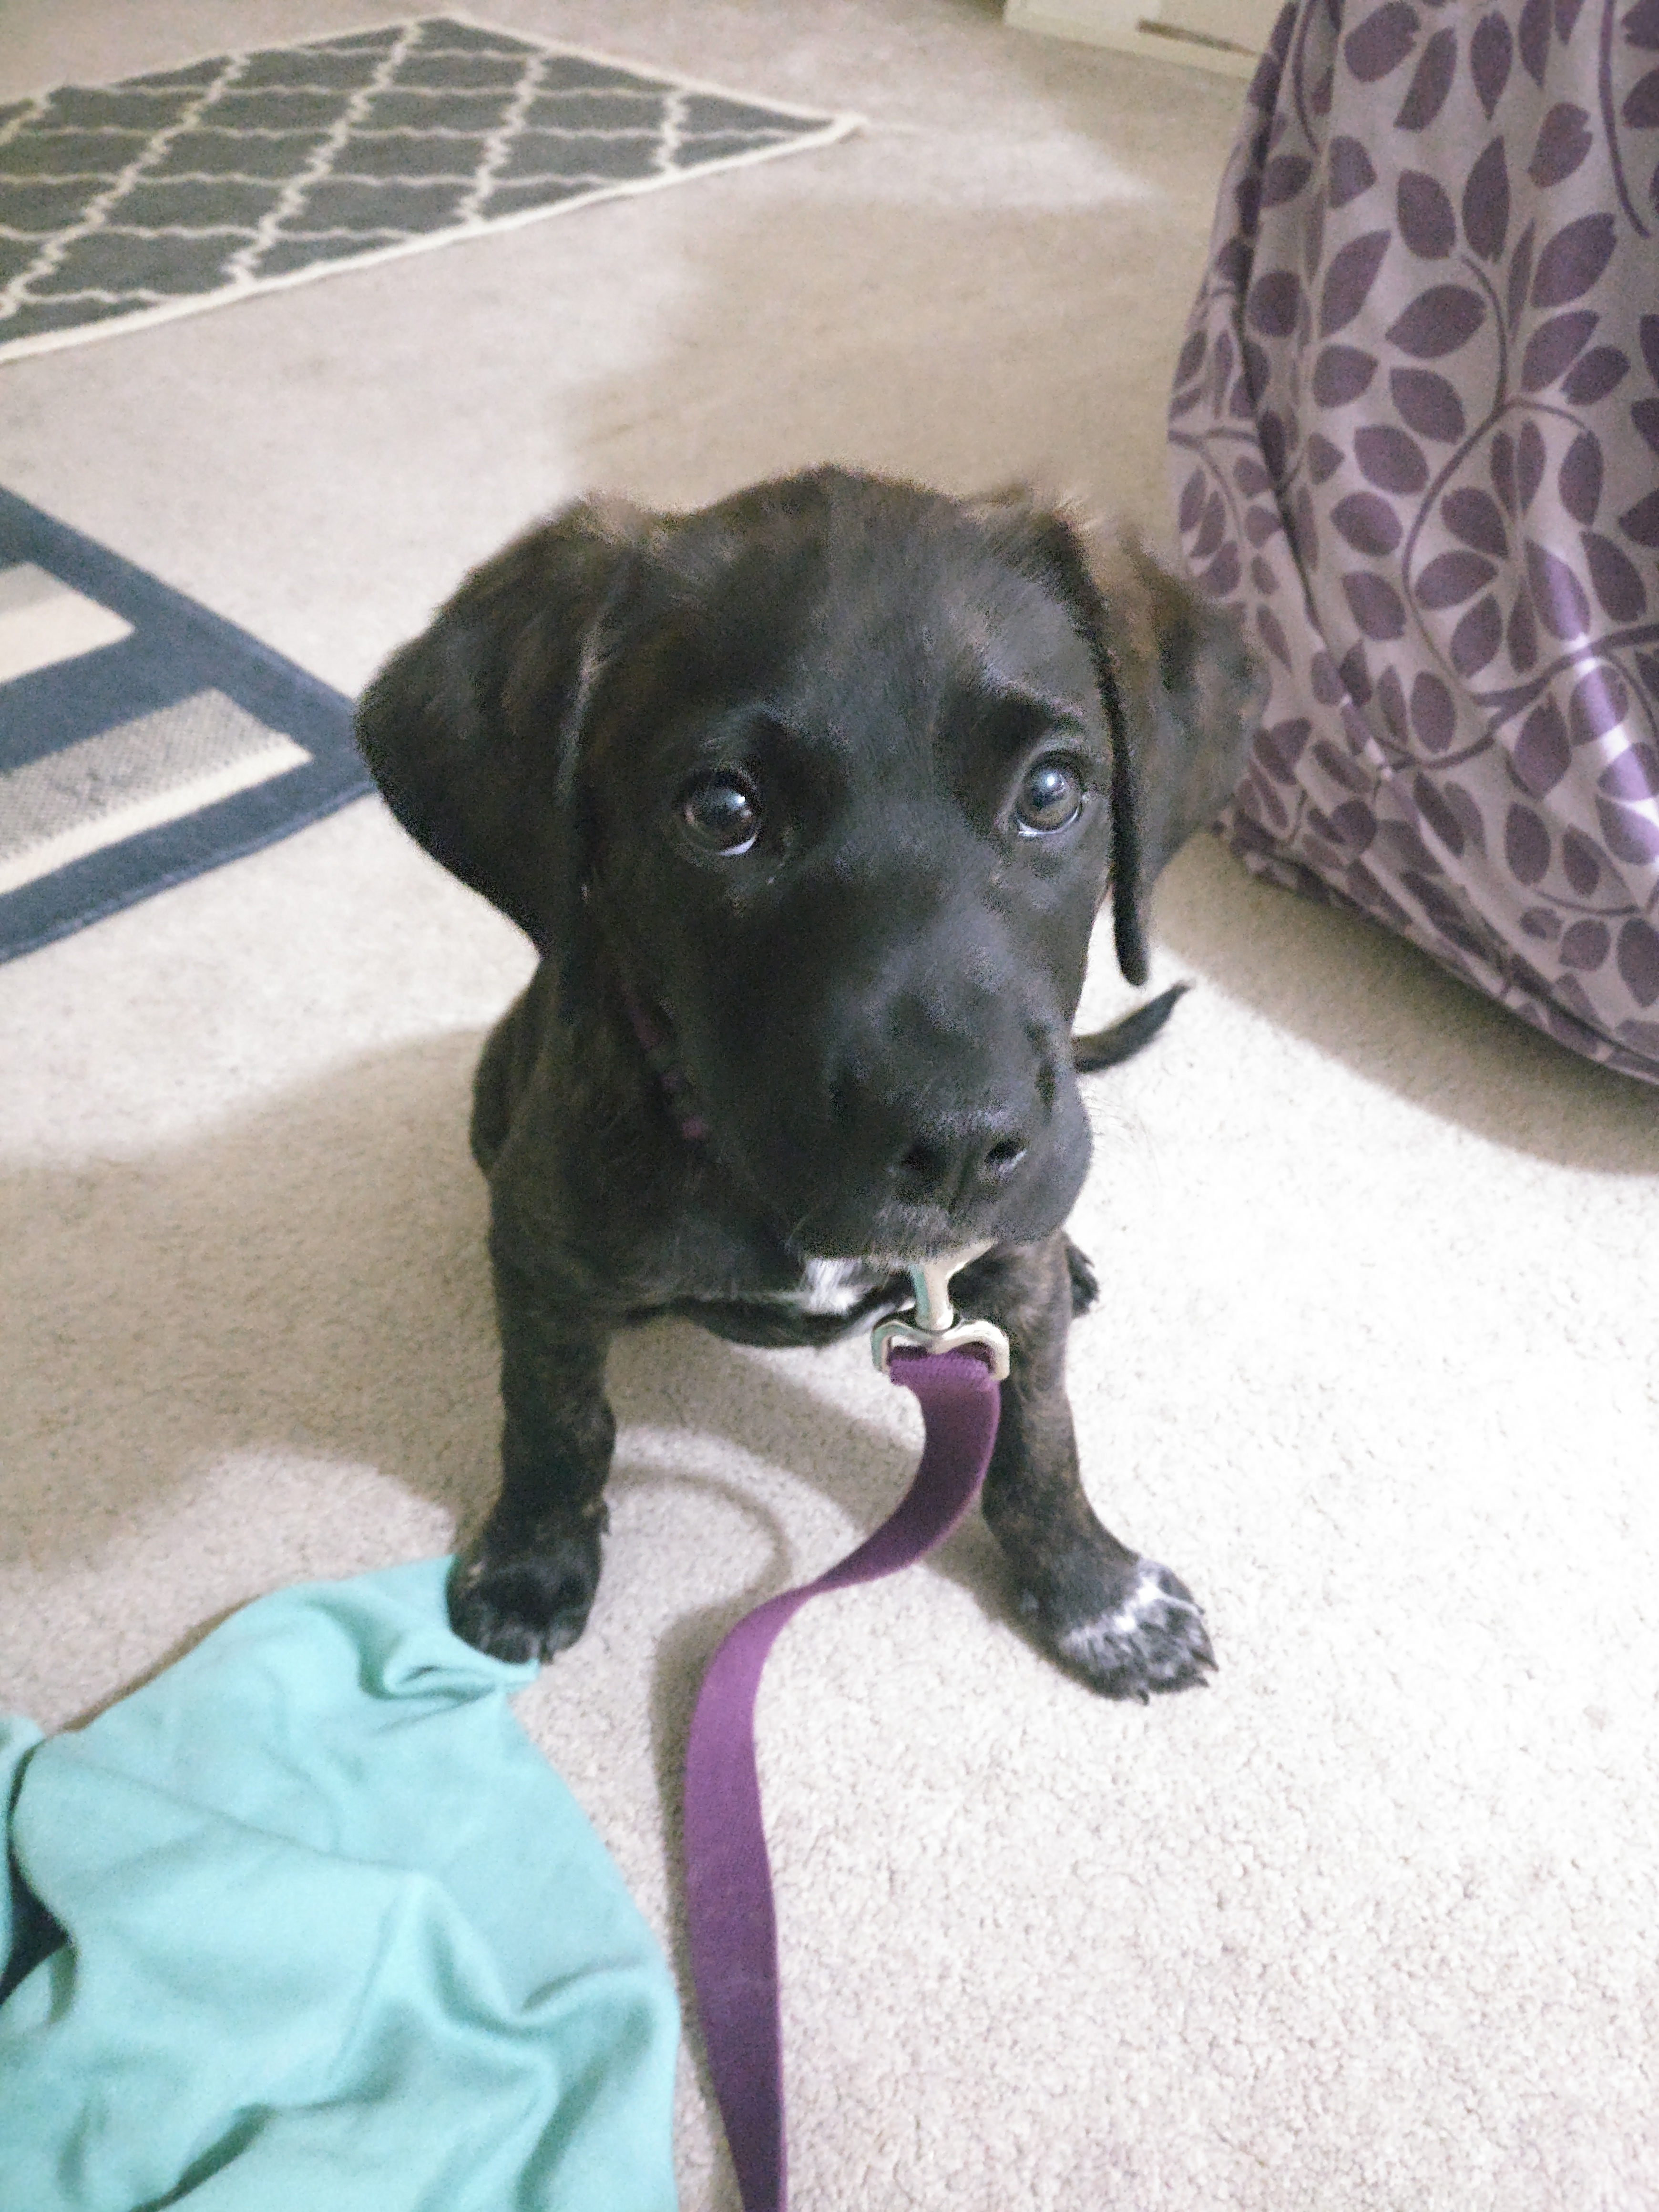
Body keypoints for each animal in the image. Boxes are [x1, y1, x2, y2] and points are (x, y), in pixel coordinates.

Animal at [356, 466, 1261, 1700]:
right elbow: (554, 1419)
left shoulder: (1010, 1281)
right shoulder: (549, 1252)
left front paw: (1094, 1591)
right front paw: (532, 1562)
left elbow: (1038, 1433)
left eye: (1052, 791)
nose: (960, 1144)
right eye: (721, 812)